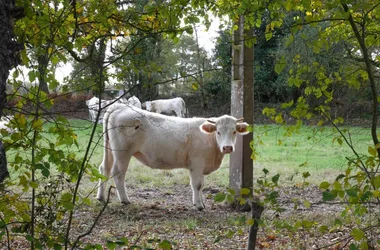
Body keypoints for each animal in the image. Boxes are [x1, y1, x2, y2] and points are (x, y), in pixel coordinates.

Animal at [95, 103, 249, 211]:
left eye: (234, 131)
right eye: (218, 132)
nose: (227, 147)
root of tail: (120, 106)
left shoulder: (202, 165)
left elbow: (202, 185)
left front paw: (201, 202)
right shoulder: (197, 163)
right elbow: (197, 184)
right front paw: (199, 205)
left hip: (109, 150)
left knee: (104, 169)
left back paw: (101, 197)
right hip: (122, 153)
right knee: (118, 173)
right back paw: (125, 199)